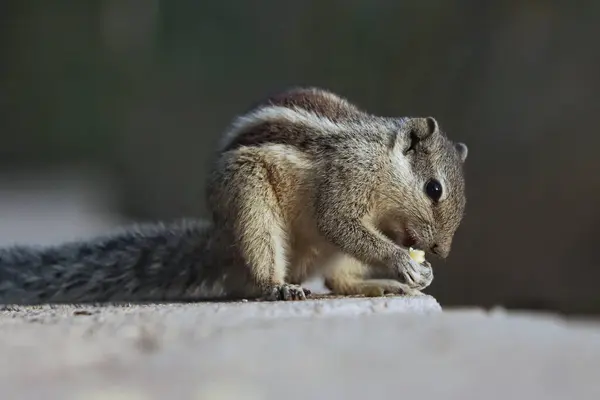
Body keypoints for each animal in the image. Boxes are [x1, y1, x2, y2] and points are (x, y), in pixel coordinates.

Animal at [0, 86, 468, 304]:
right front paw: (402, 263)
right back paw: (279, 288)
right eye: (434, 189)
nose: (442, 252)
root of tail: (221, 243)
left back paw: (380, 286)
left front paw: (420, 272)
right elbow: (338, 222)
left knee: (339, 279)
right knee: (268, 268)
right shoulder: (345, 179)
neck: (383, 163)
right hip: (250, 202)